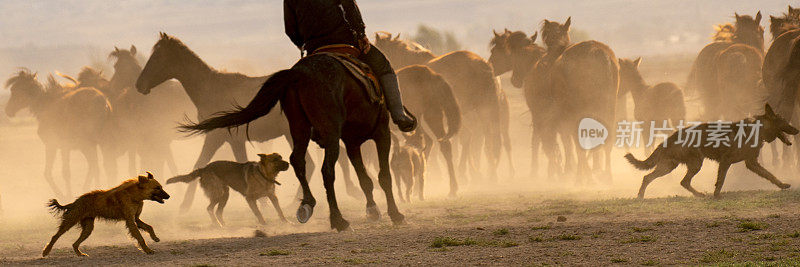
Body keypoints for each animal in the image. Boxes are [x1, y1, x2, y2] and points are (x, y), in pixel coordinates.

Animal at [4, 69, 111, 199]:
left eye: (15, 90)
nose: (8, 110)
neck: (46, 105)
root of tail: (103, 103)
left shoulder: (55, 145)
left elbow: (59, 173)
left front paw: (65, 196)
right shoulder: (63, 147)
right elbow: (52, 172)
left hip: (87, 144)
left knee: (95, 166)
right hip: (97, 144)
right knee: (98, 166)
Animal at [136, 33, 358, 214]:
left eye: (157, 56)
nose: (139, 85)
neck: (211, 89)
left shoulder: (226, 138)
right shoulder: (218, 139)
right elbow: (202, 162)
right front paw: (185, 205)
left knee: (313, 163)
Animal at [181, 45, 412, 230]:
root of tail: (298, 73)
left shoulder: (352, 141)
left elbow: (365, 178)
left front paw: (373, 209)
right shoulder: (380, 134)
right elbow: (383, 176)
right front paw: (395, 214)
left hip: (299, 130)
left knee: (299, 161)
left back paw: (306, 204)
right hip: (328, 134)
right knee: (326, 170)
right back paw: (338, 219)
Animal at [628, 104, 796, 199]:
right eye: (784, 121)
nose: (797, 130)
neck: (757, 129)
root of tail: (670, 137)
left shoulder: (752, 163)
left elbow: (771, 176)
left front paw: (782, 185)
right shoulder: (726, 161)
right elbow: (720, 181)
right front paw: (717, 195)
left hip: (675, 165)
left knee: (678, 181)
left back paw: (698, 195)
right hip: (686, 165)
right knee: (650, 178)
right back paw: (640, 196)